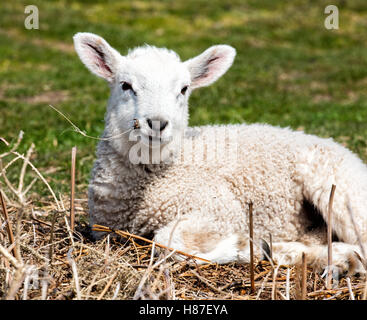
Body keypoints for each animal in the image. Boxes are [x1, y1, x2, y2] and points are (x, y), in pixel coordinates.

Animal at [72, 33, 367, 278]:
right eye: (125, 85)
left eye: (184, 89)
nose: (157, 123)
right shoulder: (105, 229)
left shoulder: (221, 209)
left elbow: (167, 241)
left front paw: (240, 247)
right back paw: (327, 258)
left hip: (340, 191)